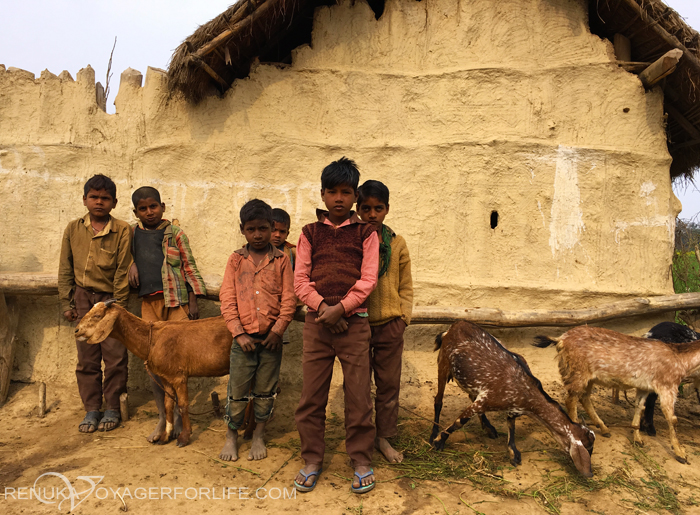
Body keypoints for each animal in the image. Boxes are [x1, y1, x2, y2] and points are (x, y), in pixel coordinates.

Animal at [76, 302, 231, 448]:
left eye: (97, 315)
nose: (76, 330)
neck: (152, 339)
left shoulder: (179, 377)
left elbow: (183, 406)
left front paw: (184, 437)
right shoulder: (166, 377)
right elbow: (167, 405)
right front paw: (164, 437)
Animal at [430, 320, 592, 478]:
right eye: (589, 448)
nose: (590, 473)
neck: (526, 391)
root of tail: (453, 326)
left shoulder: (512, 407)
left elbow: (511, 426)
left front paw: (513, 453)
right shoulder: (485, 400)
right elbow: (459, 422)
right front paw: (439, 441)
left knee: (470, 395)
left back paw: (489, 428)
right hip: (443, 363)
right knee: (438, 400)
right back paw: (433, 433)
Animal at [536, 328, 700, 466]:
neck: (680, 359)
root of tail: (561, 339)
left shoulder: (644, 388)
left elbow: (639, 407)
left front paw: (637, 438)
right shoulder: (667, 387)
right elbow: (672, 419)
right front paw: (681, 453)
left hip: (589, 377)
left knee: (584, 398)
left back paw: (604, 428)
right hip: (578, 372)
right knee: (571, 400)